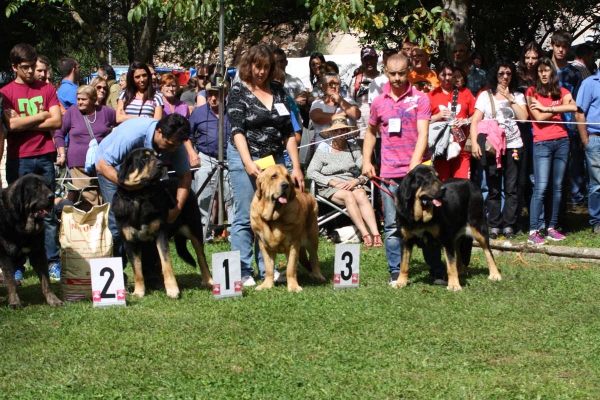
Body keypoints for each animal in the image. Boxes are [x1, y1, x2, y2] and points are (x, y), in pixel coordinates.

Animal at [0, 173, 63, 308]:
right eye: (36, 188)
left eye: (48, 186)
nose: (52, 196)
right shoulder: (5, 255)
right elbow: (11, 282)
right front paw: (14, 302)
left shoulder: (38, 253)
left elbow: (46, 282)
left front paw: (53, 299)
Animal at [111, 148, 212, 298]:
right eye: (144, 159)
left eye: (156, 156)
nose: (161, 164)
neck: (139, 196)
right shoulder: (130, 242)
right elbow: (137, 270)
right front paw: (139, 292)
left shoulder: (160, 235)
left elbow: (166, 264)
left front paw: (172, 290)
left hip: (195, 229)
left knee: (201, 257)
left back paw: (208, 280)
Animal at [251, 164, 326, 292]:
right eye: (274, 176)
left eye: (287, 177)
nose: (285, 184)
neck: (273, 217)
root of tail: (308, 193)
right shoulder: (264, 245)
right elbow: (269, 268)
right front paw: (266, 285)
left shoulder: (293, 245)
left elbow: (291, 268)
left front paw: (293, 287)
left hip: (312, 237)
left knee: (314, 257)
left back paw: (318, 275)